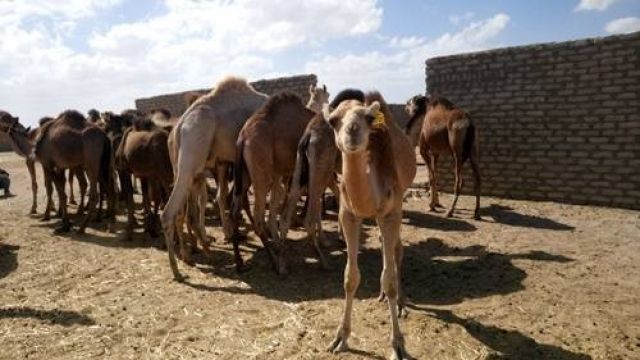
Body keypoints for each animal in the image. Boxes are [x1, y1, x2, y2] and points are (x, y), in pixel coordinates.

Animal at [162, 76, 270, 282]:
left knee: (183, 212)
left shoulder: (227, 163)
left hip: (182, 166)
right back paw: (178, 270)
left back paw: (195, 254)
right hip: (193, 153)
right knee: (170, 213)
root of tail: (178, 127)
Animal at [232, 86, 328, 274]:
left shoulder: (280, 172)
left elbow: (278, 200)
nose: (328, 101)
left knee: (234, 208)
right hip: (261, 171)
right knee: (258, 217)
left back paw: (240, 262)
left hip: (245, 174)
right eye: (325, 95)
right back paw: (274, 262)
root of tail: (243, 139)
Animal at [278, 88, 362, 268]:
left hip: (302, 171)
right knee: (309, 216)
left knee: (288, 212)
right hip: (320, 171)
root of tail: (308, 137)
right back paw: (322, 259)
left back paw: (282, 262)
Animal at [322, 91, 418, 358]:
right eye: (333, 120)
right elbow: (350, 277)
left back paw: (400, 303)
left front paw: (398, 344)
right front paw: (340, 338)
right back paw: (381, 296)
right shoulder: (348, 216)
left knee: (397, 251)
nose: (352, 131)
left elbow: (390, 277)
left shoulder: (391, 213)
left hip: (397, 204)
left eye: (368, 117)